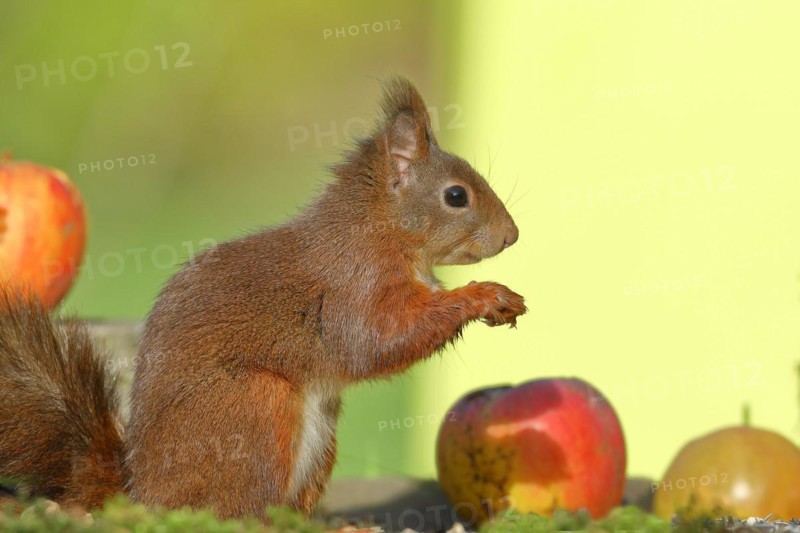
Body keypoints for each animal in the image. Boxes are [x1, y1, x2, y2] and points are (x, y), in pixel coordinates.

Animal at [0, 77, 526, 520]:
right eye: (456, 196)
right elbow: (377, 342)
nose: (512, 237)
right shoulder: (353, 285)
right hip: (253, 410)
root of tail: (145, 494)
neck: (381, 230)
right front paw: (484, 296)